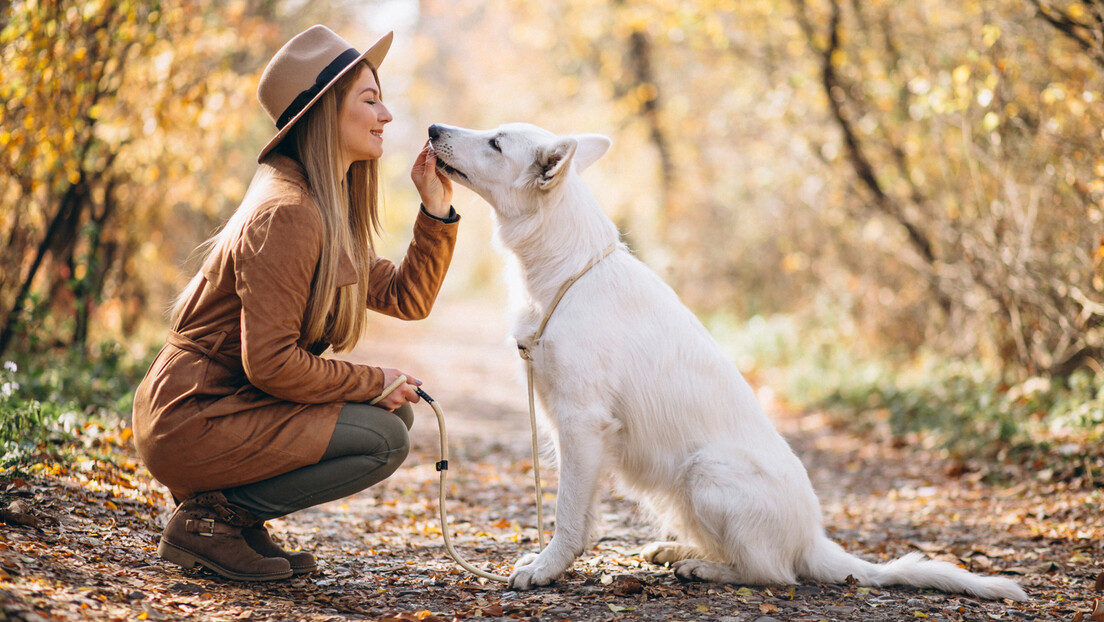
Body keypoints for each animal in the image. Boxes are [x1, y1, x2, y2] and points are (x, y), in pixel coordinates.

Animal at [428, 123, 1024, 605]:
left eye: (496, 142)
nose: (432, 129)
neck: (565, 269)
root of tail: (814, 541)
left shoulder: (581, 423)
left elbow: (568, 514)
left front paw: (547, 568)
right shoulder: (570, 428)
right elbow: (583, 513)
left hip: (706, 472)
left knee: (773, 573)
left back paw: (704, 569)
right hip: (677, 492)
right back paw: (678, 552)